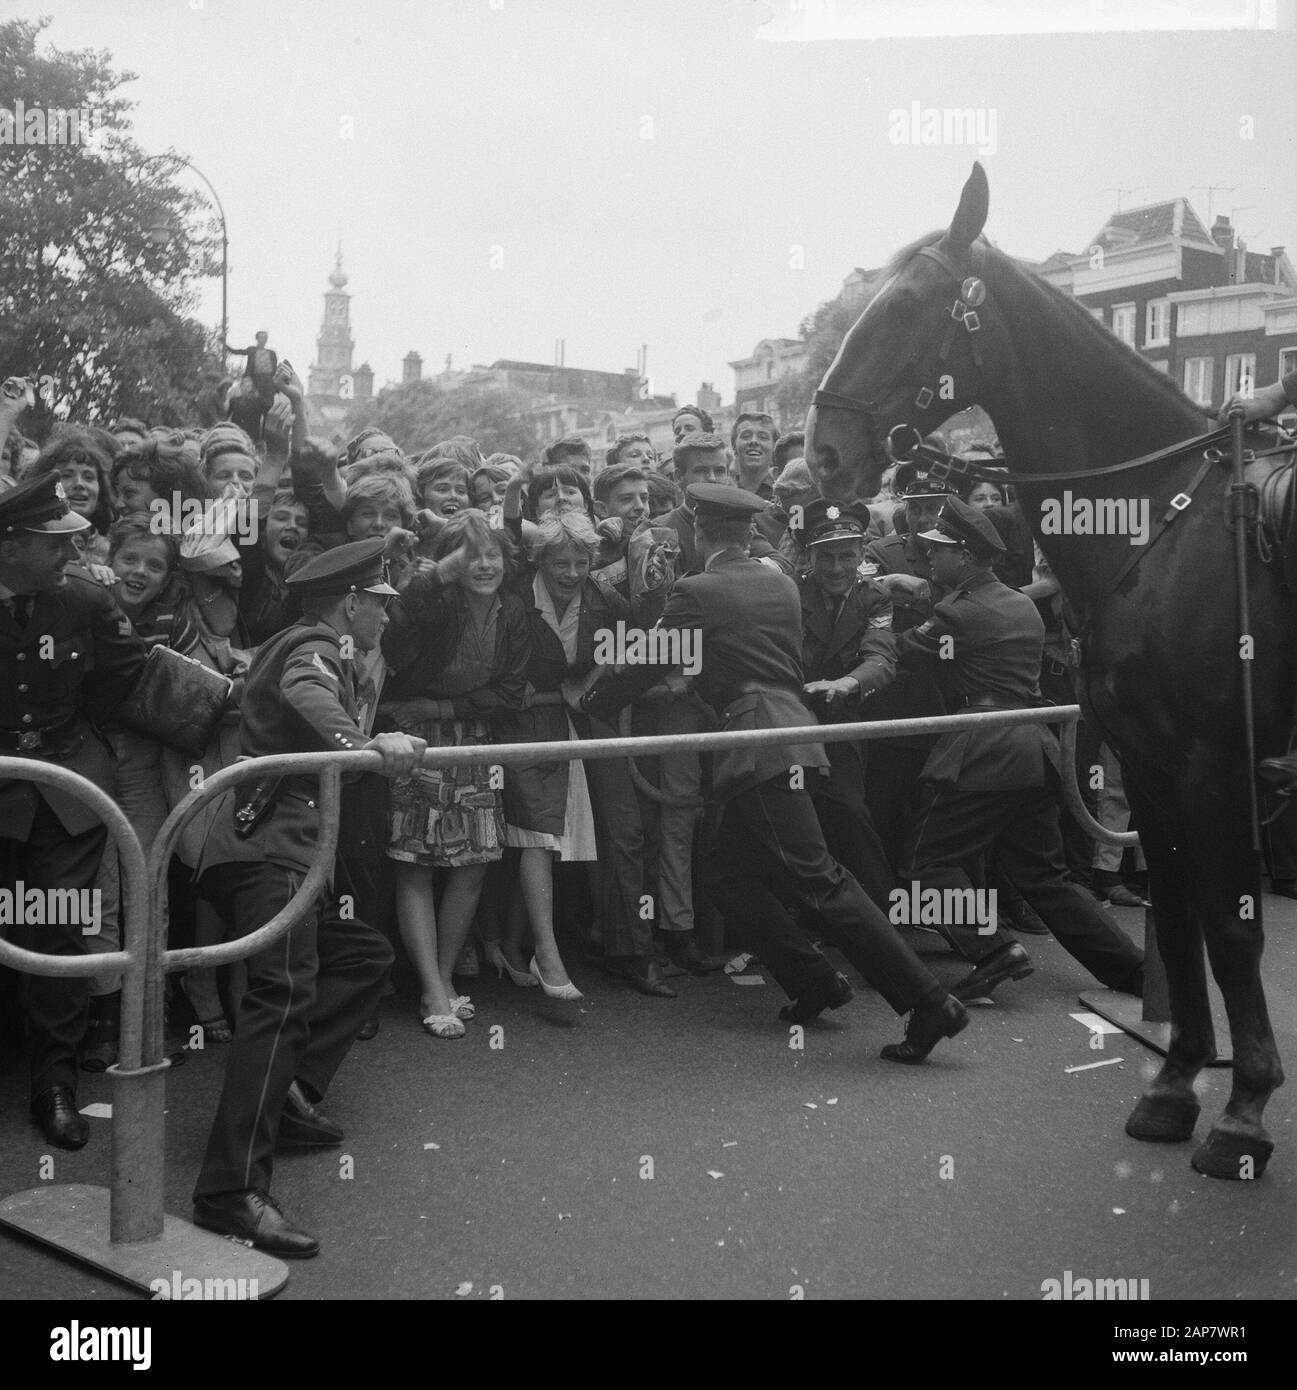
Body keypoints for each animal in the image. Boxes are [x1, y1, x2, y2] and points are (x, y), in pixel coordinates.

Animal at [806, 165, 1290, 1184]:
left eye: (906, 302)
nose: (821, 451)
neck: (1159, 520)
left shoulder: (1213, 762)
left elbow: (1231, 925)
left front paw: (1243, 1112)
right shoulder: (1148, 761)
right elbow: (1177, 916)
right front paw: (1174, 1083)